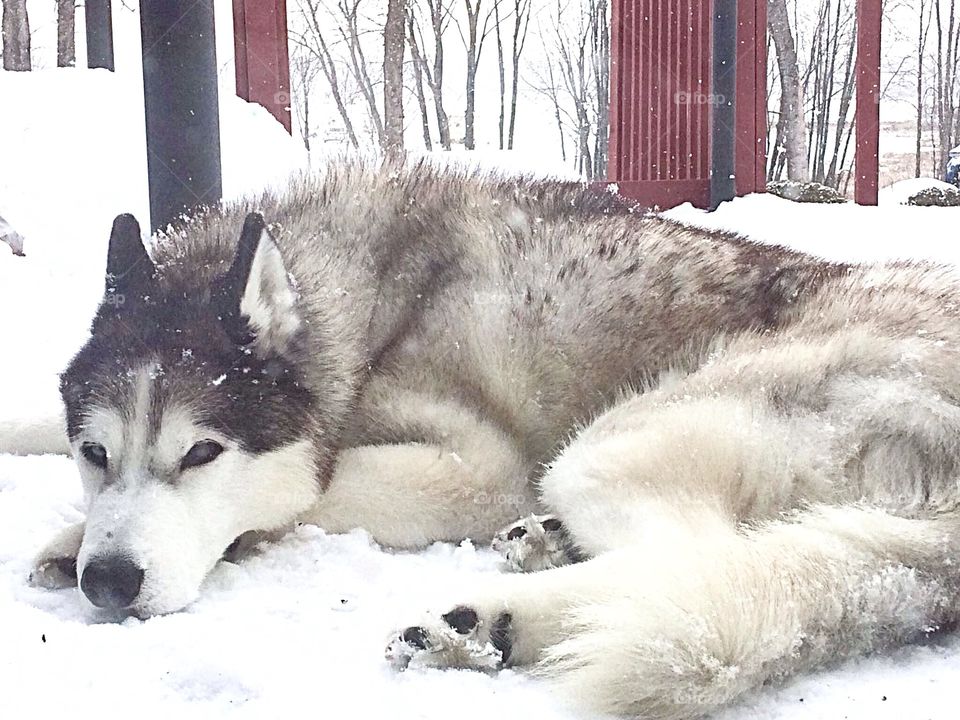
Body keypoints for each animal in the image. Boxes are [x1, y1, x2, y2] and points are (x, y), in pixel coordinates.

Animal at [26, 163, 960, 720]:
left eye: (200, 454)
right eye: (95, 453)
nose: (108, 581)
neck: (372, 300)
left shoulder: (474, 471)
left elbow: (310, 487)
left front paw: (83, 537)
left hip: (615, 439)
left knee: (696, 561)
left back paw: (489, 618)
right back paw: (518, 587)